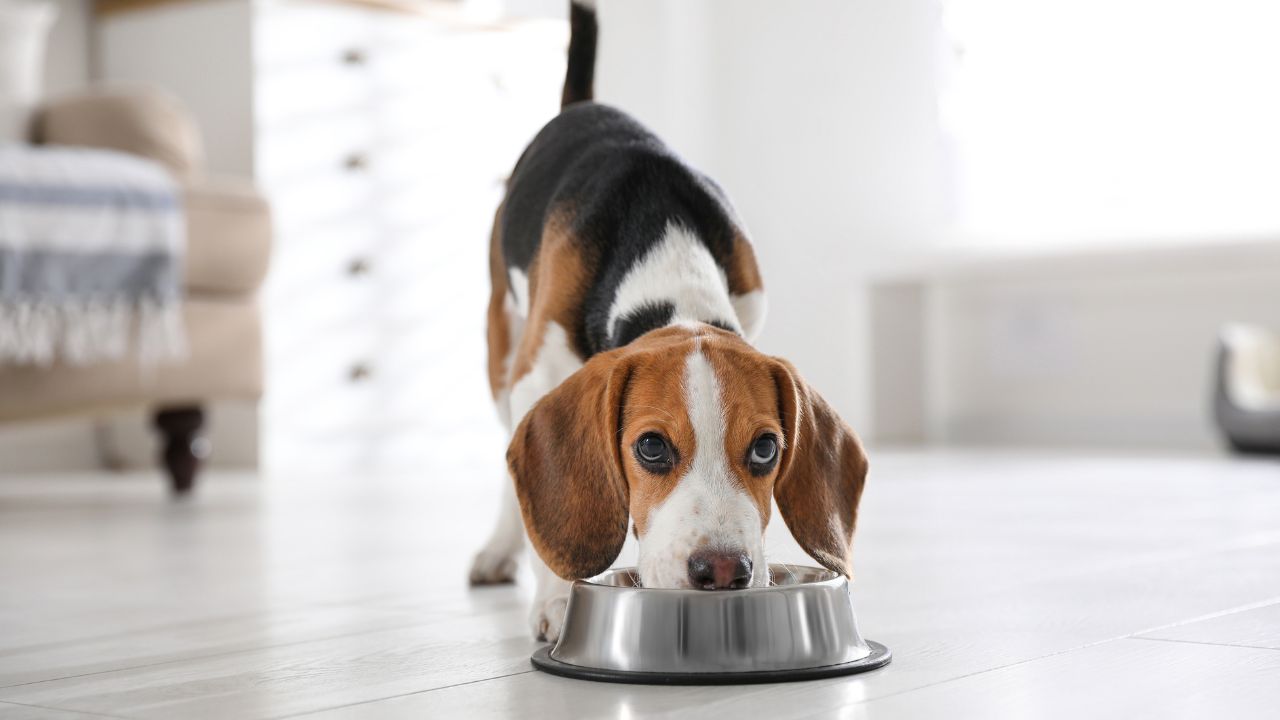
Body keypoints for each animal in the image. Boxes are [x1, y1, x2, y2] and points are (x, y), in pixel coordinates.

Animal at [471, 0, 870, 638]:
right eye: (652, 448)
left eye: (766, 449)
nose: (725, 571)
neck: (666, 257)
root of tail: (583, 105)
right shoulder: (539, 374)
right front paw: (557, 601)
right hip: (501, 346)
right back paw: (498, 549)